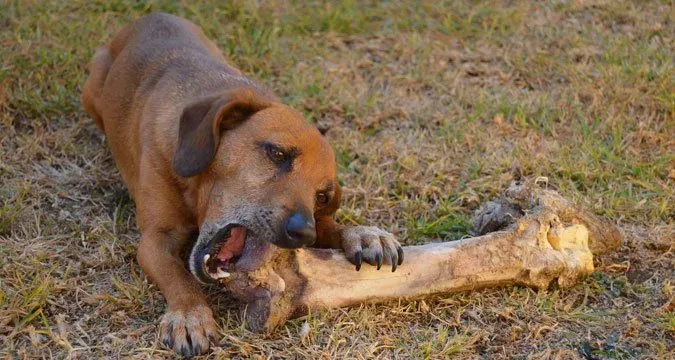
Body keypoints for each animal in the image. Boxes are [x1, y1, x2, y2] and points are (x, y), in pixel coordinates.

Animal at [82, 13, 404, 358]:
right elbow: (178, 276)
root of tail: (149, 17)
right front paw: (190, 315)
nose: (305, 234)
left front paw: (364, 234)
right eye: (277, 153)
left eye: (322, 197)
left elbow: (331, 226)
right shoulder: (155, 240)